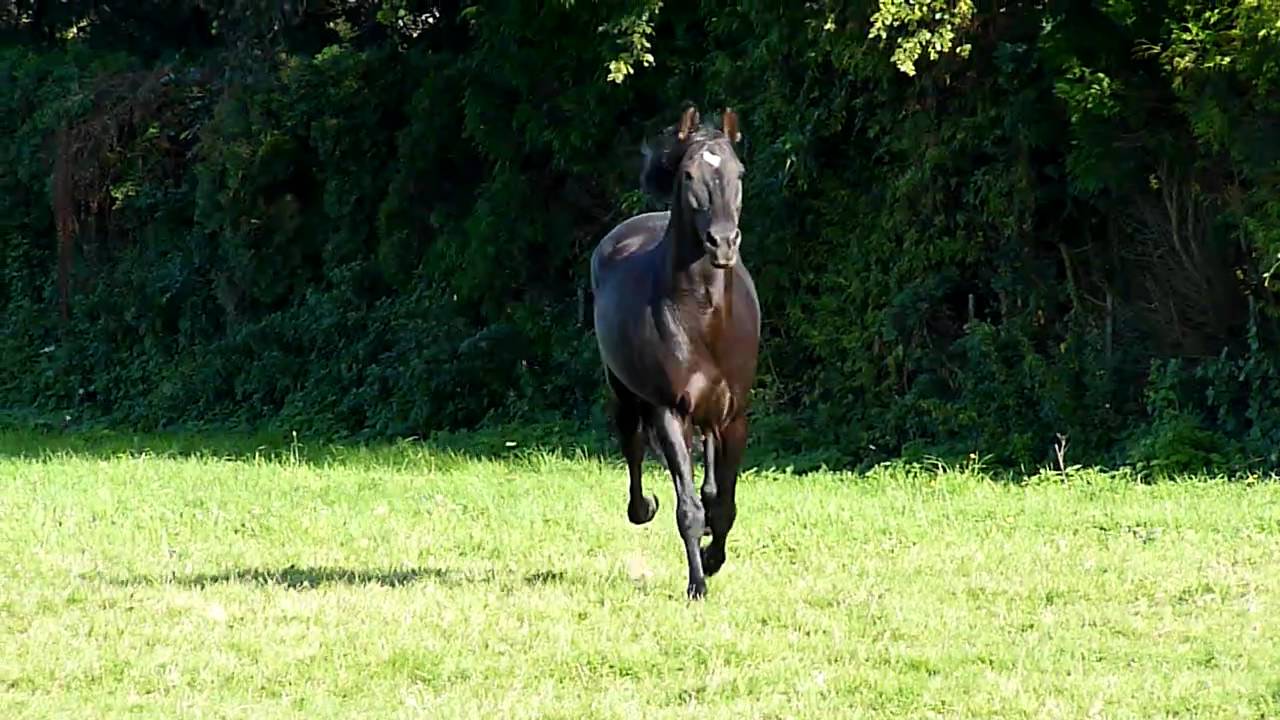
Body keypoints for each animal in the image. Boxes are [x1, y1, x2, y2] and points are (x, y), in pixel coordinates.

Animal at [590, 105, 761, 599]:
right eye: (689, 174)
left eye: (739, 171)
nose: (722, 243)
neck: (704, 317)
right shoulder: (670, 411)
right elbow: (688, 508)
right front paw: (698, 583)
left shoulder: (734, 416)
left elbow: (723, 505)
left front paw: (712, 557)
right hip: (625, 392)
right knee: (632, 445)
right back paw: (642, 507)